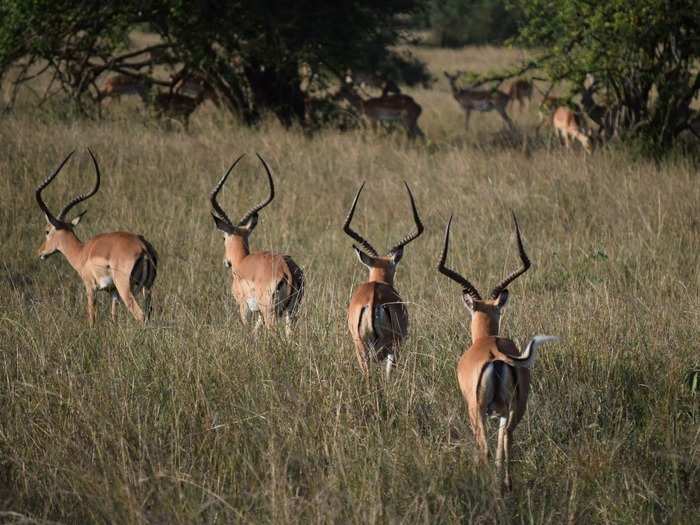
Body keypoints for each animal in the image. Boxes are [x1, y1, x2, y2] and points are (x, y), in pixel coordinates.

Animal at [36, 149, 157, 326]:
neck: (82, 252)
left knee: (141, 315)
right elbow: (113, 316)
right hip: (146, 288)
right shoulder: (113, 292)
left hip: (126, 288)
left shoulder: (90, 287)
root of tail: (143, 248)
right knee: (149, 314)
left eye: (47, 231)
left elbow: (92, 316)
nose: (40, 252)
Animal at [209, 151, 304, 334]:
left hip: (270, 311)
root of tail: (286, 269)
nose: (226, 262)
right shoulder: (259, 313)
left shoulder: (243, 306)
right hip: (291, 312)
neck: (242, 262)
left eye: (223, 237)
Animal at [438, 211, 556, 490]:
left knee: (486, 450)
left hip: (478, 411)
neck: (487, 339)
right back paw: (506, 487)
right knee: (508, 443)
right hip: (515, 409)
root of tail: (495, 355)